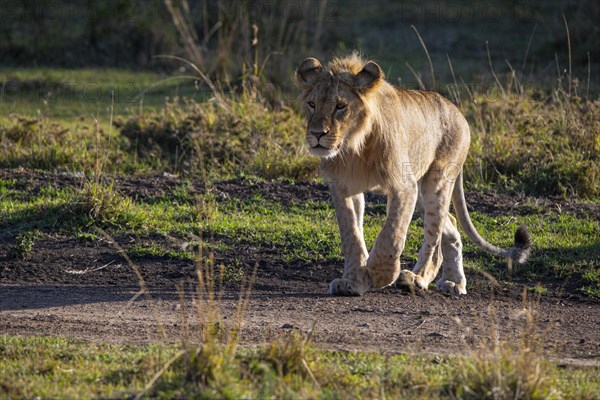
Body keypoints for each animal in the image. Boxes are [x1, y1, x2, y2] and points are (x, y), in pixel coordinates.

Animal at [296, 53, 528, 296]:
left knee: (434, 238)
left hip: (436, 182)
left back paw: (417, 279)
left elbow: (392, 234)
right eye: (312, 104)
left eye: (340, 106)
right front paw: (352, 282)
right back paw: (454, 281)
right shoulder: (343, 187)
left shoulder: (404, 186)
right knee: (451, 223)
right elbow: (351, 236)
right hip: (422, 196)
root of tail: (458, 112)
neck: (353, 146)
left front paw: (380, 274)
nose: (317, 134)